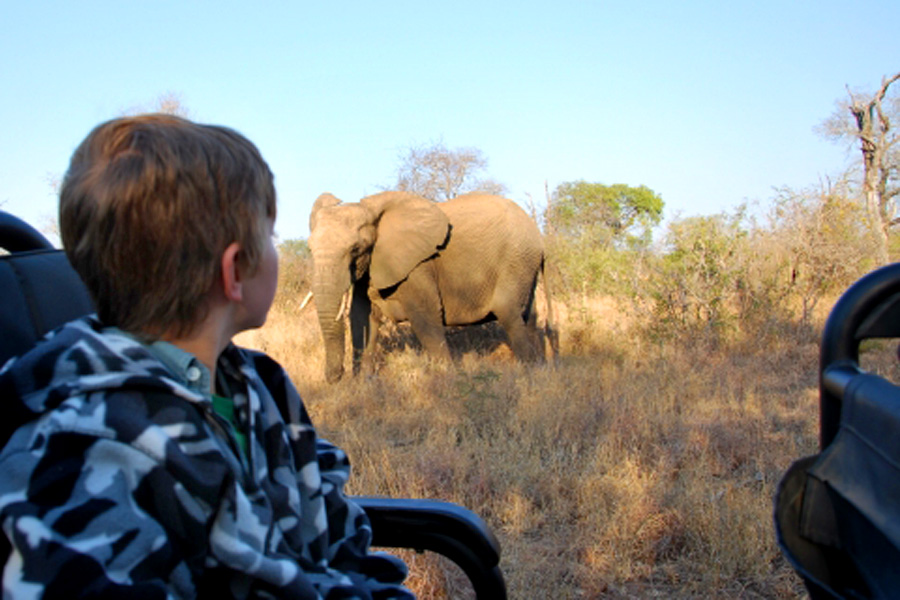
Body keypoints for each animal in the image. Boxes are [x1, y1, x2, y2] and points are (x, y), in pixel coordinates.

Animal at [308, 190, 548, 382]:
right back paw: (540, 368)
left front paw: (446, 381)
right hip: (524, 264)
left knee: (508, 313)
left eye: (356, 249)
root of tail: (538, 235)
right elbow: (362, 318)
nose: (334, 378)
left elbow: (424, 317)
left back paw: (528, 375)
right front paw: (364, 384)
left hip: (516, 259)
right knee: (529, 316)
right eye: (309, 248)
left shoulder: (417, 266)